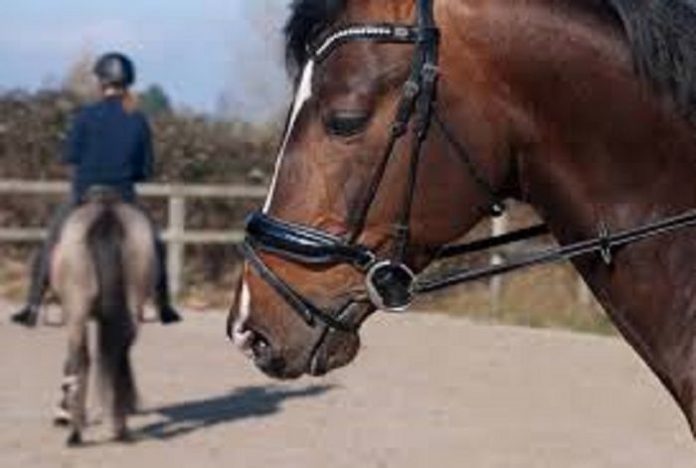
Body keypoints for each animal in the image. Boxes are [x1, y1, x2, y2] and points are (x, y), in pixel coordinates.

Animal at [51, 187, 155, 446]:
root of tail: (106, 213)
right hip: (132, 306)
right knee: (119, 353)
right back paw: (119, 424)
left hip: (76, 312)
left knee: (81, 359)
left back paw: (76, 432)